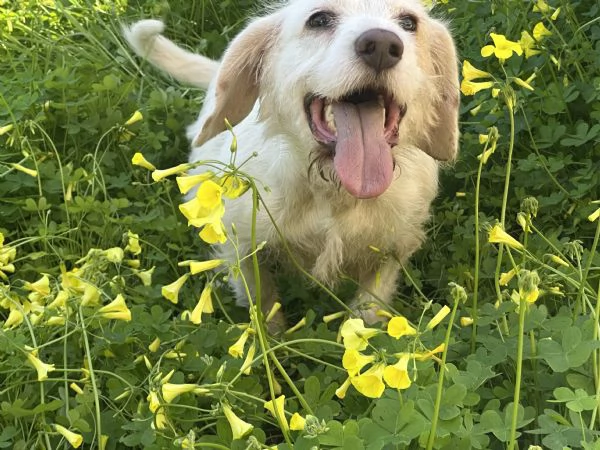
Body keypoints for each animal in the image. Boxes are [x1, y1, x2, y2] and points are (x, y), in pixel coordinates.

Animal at [123, 0, 460, 326]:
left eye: (409, 23)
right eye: (319, 19)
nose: (381, 45)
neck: (332, 193)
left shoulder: (390, 251)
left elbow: (367, 311)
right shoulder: (244, 247)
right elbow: (263, 305)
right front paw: (272, 341)